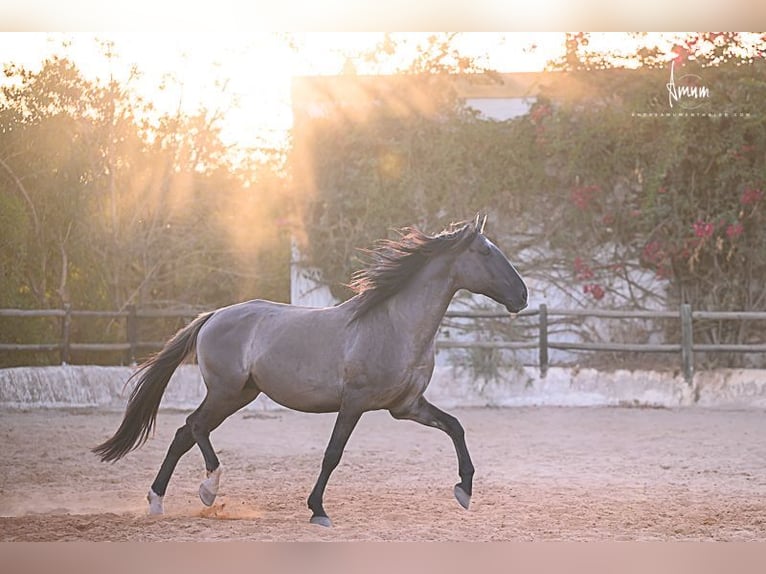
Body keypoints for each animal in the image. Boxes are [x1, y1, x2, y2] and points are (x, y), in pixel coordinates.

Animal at [93, 214, 528, 527]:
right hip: (226, 391)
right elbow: (332, 454)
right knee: (194, 427)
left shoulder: (406, 406)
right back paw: (208, 490)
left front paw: (464, 490)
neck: (394, 325)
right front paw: (318, 510)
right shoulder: (354, 403)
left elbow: (455, 427)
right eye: (486, 253)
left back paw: (157, 502)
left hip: (241, 394)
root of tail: (213, 315)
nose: (522, 296)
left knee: (185, 434)